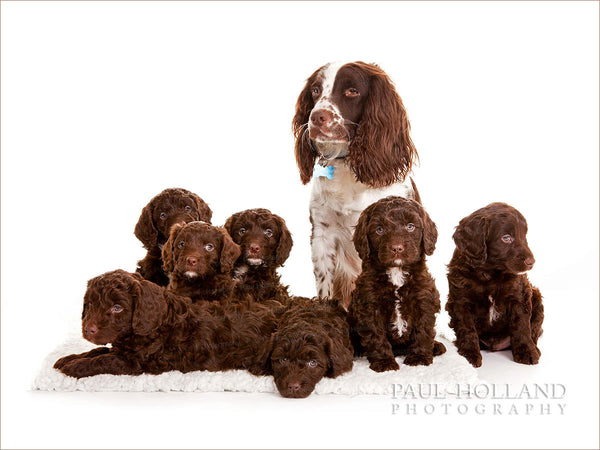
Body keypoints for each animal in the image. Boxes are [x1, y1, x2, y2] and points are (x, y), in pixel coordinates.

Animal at [52, 270, 276, 376]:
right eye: (89, 305)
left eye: (117, 308)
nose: (88, 330)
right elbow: (98, 351)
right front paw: (69, 358)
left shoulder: (135, 362)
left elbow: (104, 360)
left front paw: (75, 367)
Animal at [346, 197, 446, 372]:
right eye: (379, 230)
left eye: (410, 226)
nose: (397, 248)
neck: (397, 272)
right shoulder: (370, 304)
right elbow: (376, 336)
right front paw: (384, 362)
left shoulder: (424, 300)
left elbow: (423, 331)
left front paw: (419, 358)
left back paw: (436, 346)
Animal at [446, 202, 544, 368]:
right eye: (506, 238)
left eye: (524, 236)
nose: (531, 262)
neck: (489, 273)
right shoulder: (460, 300)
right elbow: (466, 328)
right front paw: (468, 355)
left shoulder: (519, 295)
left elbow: (521, 326)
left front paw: (527, 352)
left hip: (536, 296)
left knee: (534, 330)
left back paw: (535, 348)